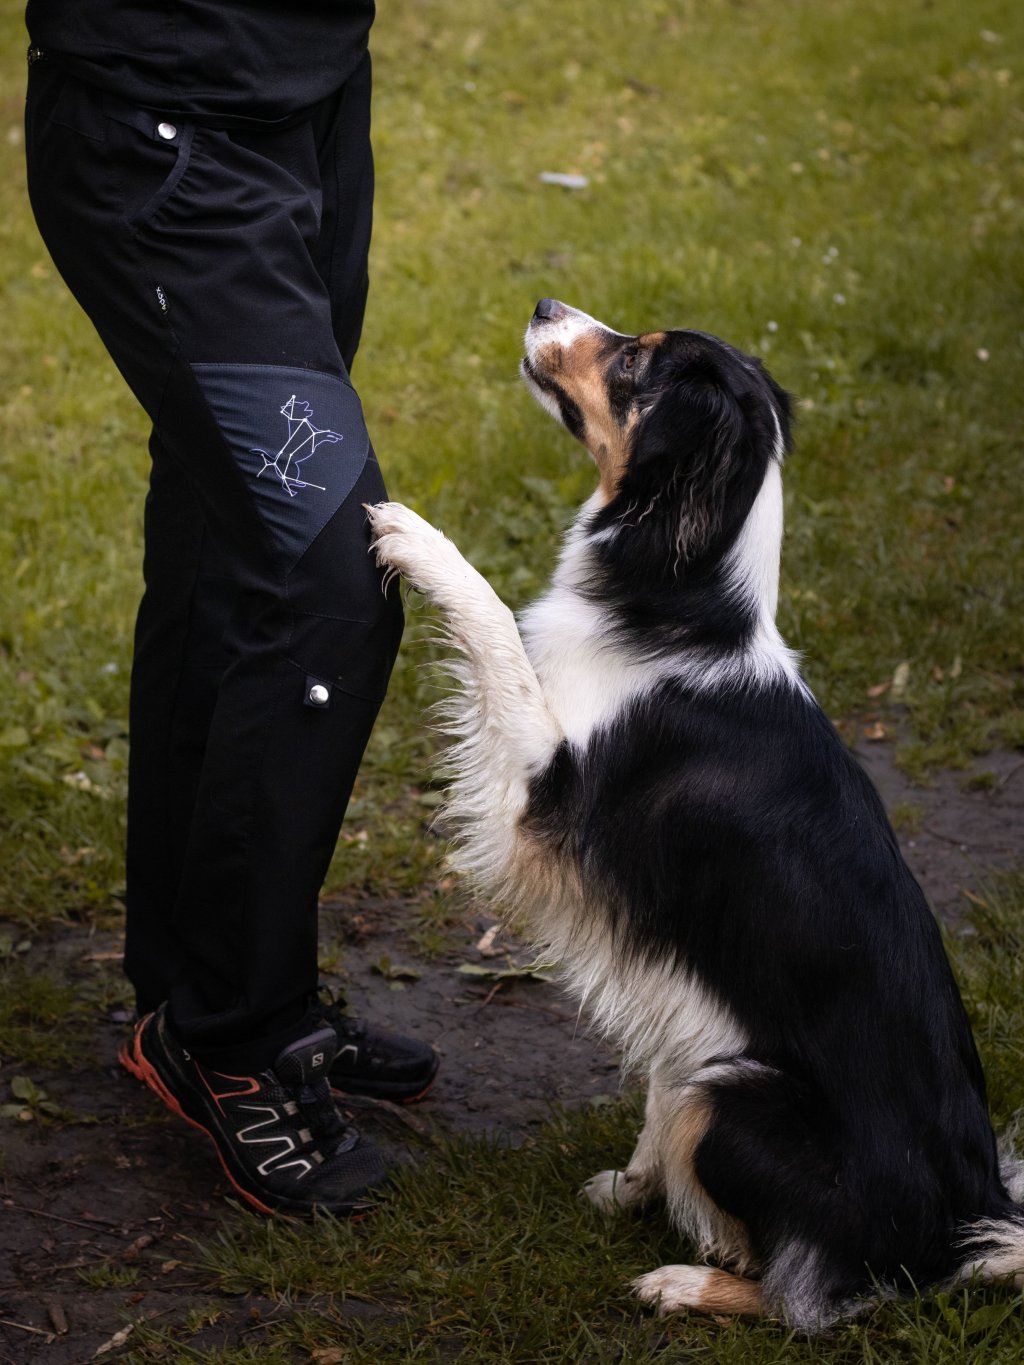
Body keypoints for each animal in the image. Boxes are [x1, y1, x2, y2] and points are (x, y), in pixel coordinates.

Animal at [365, 301, 1021, 1332]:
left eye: (636, 361)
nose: (545, 306)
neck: (678, 610)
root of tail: (969, 1226)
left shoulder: (544, 796)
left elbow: (498, 628)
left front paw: (415, 537)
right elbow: (653, 1091)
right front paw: (631, 1187)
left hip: (738, 1092)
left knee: (810, 1293)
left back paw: (689, 1278)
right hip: (718, 1058)